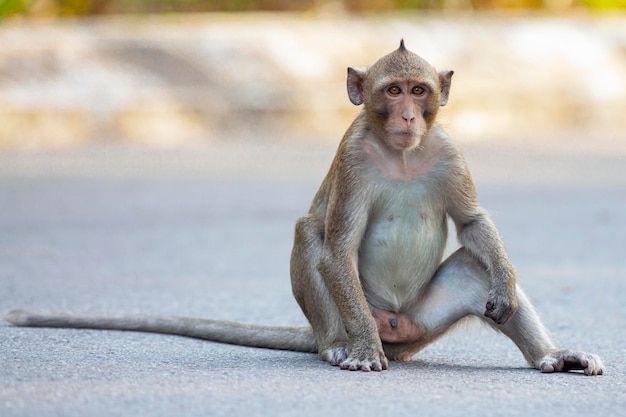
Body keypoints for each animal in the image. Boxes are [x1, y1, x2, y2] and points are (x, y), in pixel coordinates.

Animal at [3, 40, 600, 376]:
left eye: (420, 91)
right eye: (392, 91)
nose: (408, 116)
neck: (403, 156)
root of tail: (399, 330)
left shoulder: (450, 151)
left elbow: (475, 226)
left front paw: (506, 280)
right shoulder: (354, 156)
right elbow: (336, 245)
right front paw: (360, 352)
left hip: (424, 318)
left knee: (475, 271)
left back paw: (552, 357)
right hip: (363, 313)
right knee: (309, 234)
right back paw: (342, 346)